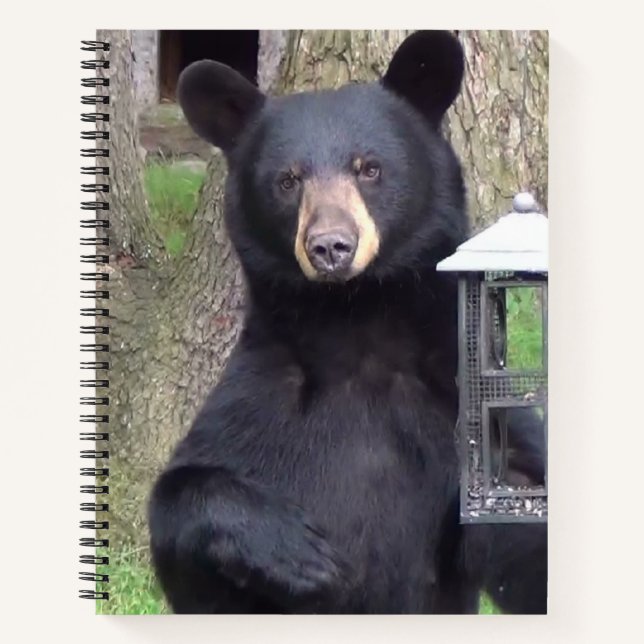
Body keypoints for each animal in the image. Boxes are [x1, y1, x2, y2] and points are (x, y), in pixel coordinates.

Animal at [148, 30, 547, 615]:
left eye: (370, 168)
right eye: (288, 180)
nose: (331, 246)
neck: (358, 320)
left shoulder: (462, 397)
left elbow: (522, 514)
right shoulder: (261, 396)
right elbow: (182, 516)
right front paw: (300, 552)